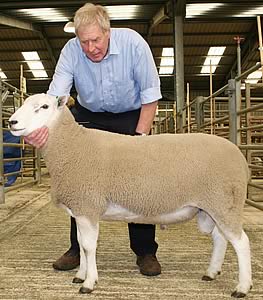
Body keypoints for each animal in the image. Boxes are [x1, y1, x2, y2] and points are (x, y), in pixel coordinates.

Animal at [8, 94, 254, 298]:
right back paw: (211, 272)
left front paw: (88, 283)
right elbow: (80, 243)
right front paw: (80, 274)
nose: (12, 122)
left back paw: (242, 287)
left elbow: (88, 246)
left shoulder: (88, 206)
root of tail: (241, 159)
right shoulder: (80, 209)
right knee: (220, 238)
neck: (72, 145)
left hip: (224, 202)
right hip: (214, 206)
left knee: (241, 242)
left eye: (44, 106)